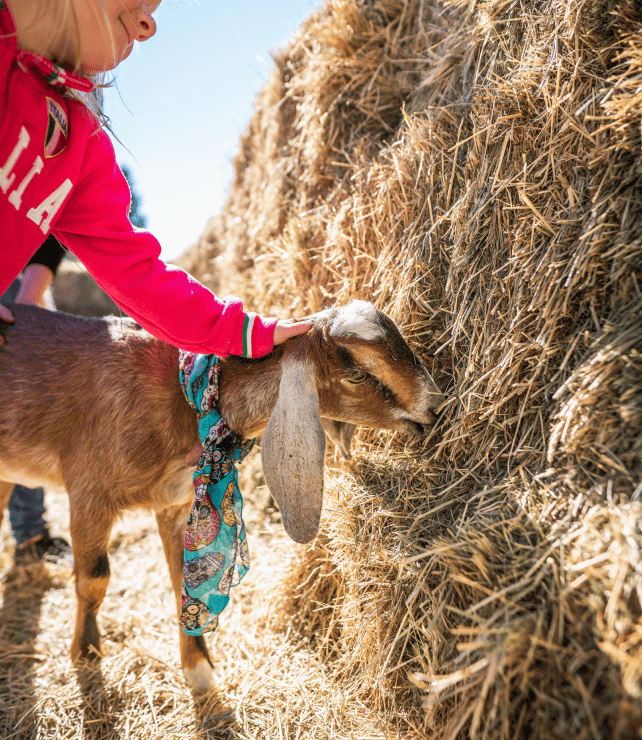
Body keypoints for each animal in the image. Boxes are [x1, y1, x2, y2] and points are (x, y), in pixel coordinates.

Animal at [0, 300, 444, 692]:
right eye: (356, 374)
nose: (435, 407)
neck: (187, 401)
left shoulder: (177, 502)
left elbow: (182, 579)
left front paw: (198, 669)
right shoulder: (89, 491)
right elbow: (93, 580)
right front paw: (86, 656)